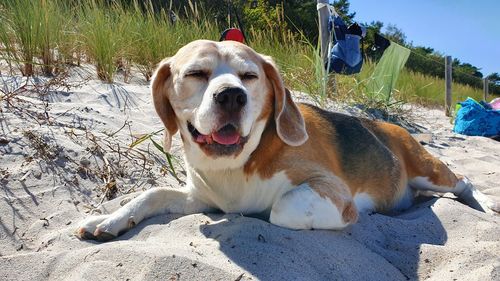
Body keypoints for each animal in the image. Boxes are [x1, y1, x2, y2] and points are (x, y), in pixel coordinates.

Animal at [76, 40, 498, 241]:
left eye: (249, 76)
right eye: (196, 73)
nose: (232, 97)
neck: (237, 164)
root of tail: (388, 125)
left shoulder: (331, 190)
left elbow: (279, 208)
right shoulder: (202, 198)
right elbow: (152, 194)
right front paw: (108, 220)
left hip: (429, 169)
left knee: (463, 182)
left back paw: (485, 204)